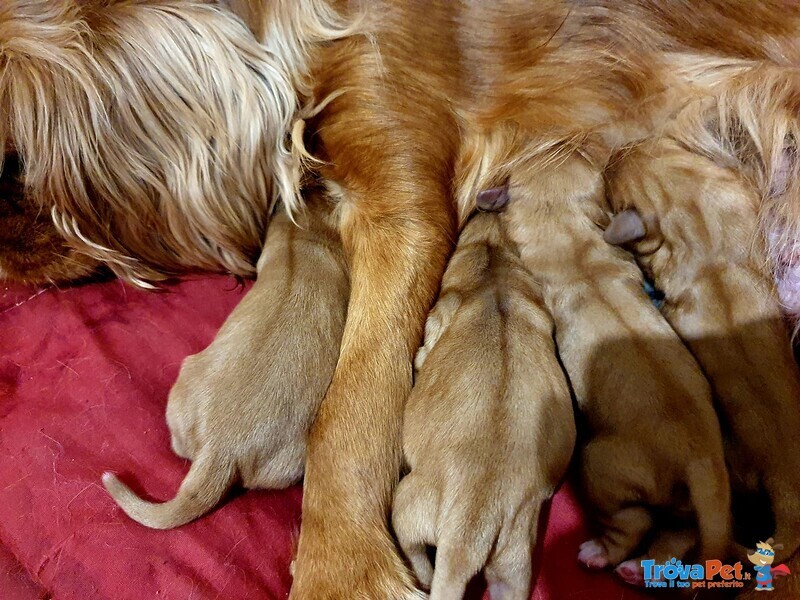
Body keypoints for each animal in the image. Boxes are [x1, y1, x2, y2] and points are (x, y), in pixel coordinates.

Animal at [392, 211, 576, 600]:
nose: (487, 208)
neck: (494, 273)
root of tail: (467, 538)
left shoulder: (439, 317)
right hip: (515, 559)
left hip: (407, 504)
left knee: (412, 547)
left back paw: (422, 577)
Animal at [504, 152, 736, 584]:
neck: (568, 236)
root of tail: (702, 459)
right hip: (681, 501)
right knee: (679, 532)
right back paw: (639, 570)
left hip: (601, 467)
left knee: (634, 522)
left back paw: (600, 554)